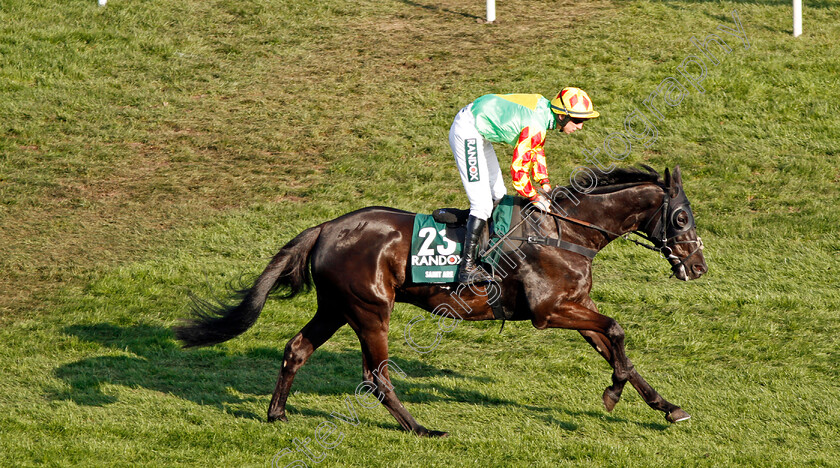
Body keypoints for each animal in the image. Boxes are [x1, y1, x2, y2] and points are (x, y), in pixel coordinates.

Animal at [174, 165, 704, 438]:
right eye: (681, 218)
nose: (697, 266)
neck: (567, 231)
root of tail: (325, 227)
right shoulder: (549, 312)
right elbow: (616, 330)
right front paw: (613, 393)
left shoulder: (573, 306)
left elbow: (617, 348)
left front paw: (667, 407)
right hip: (371, 311)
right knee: (376, 375)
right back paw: (421, 428)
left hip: (336, 309)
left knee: (296, 349)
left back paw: (277, 413)